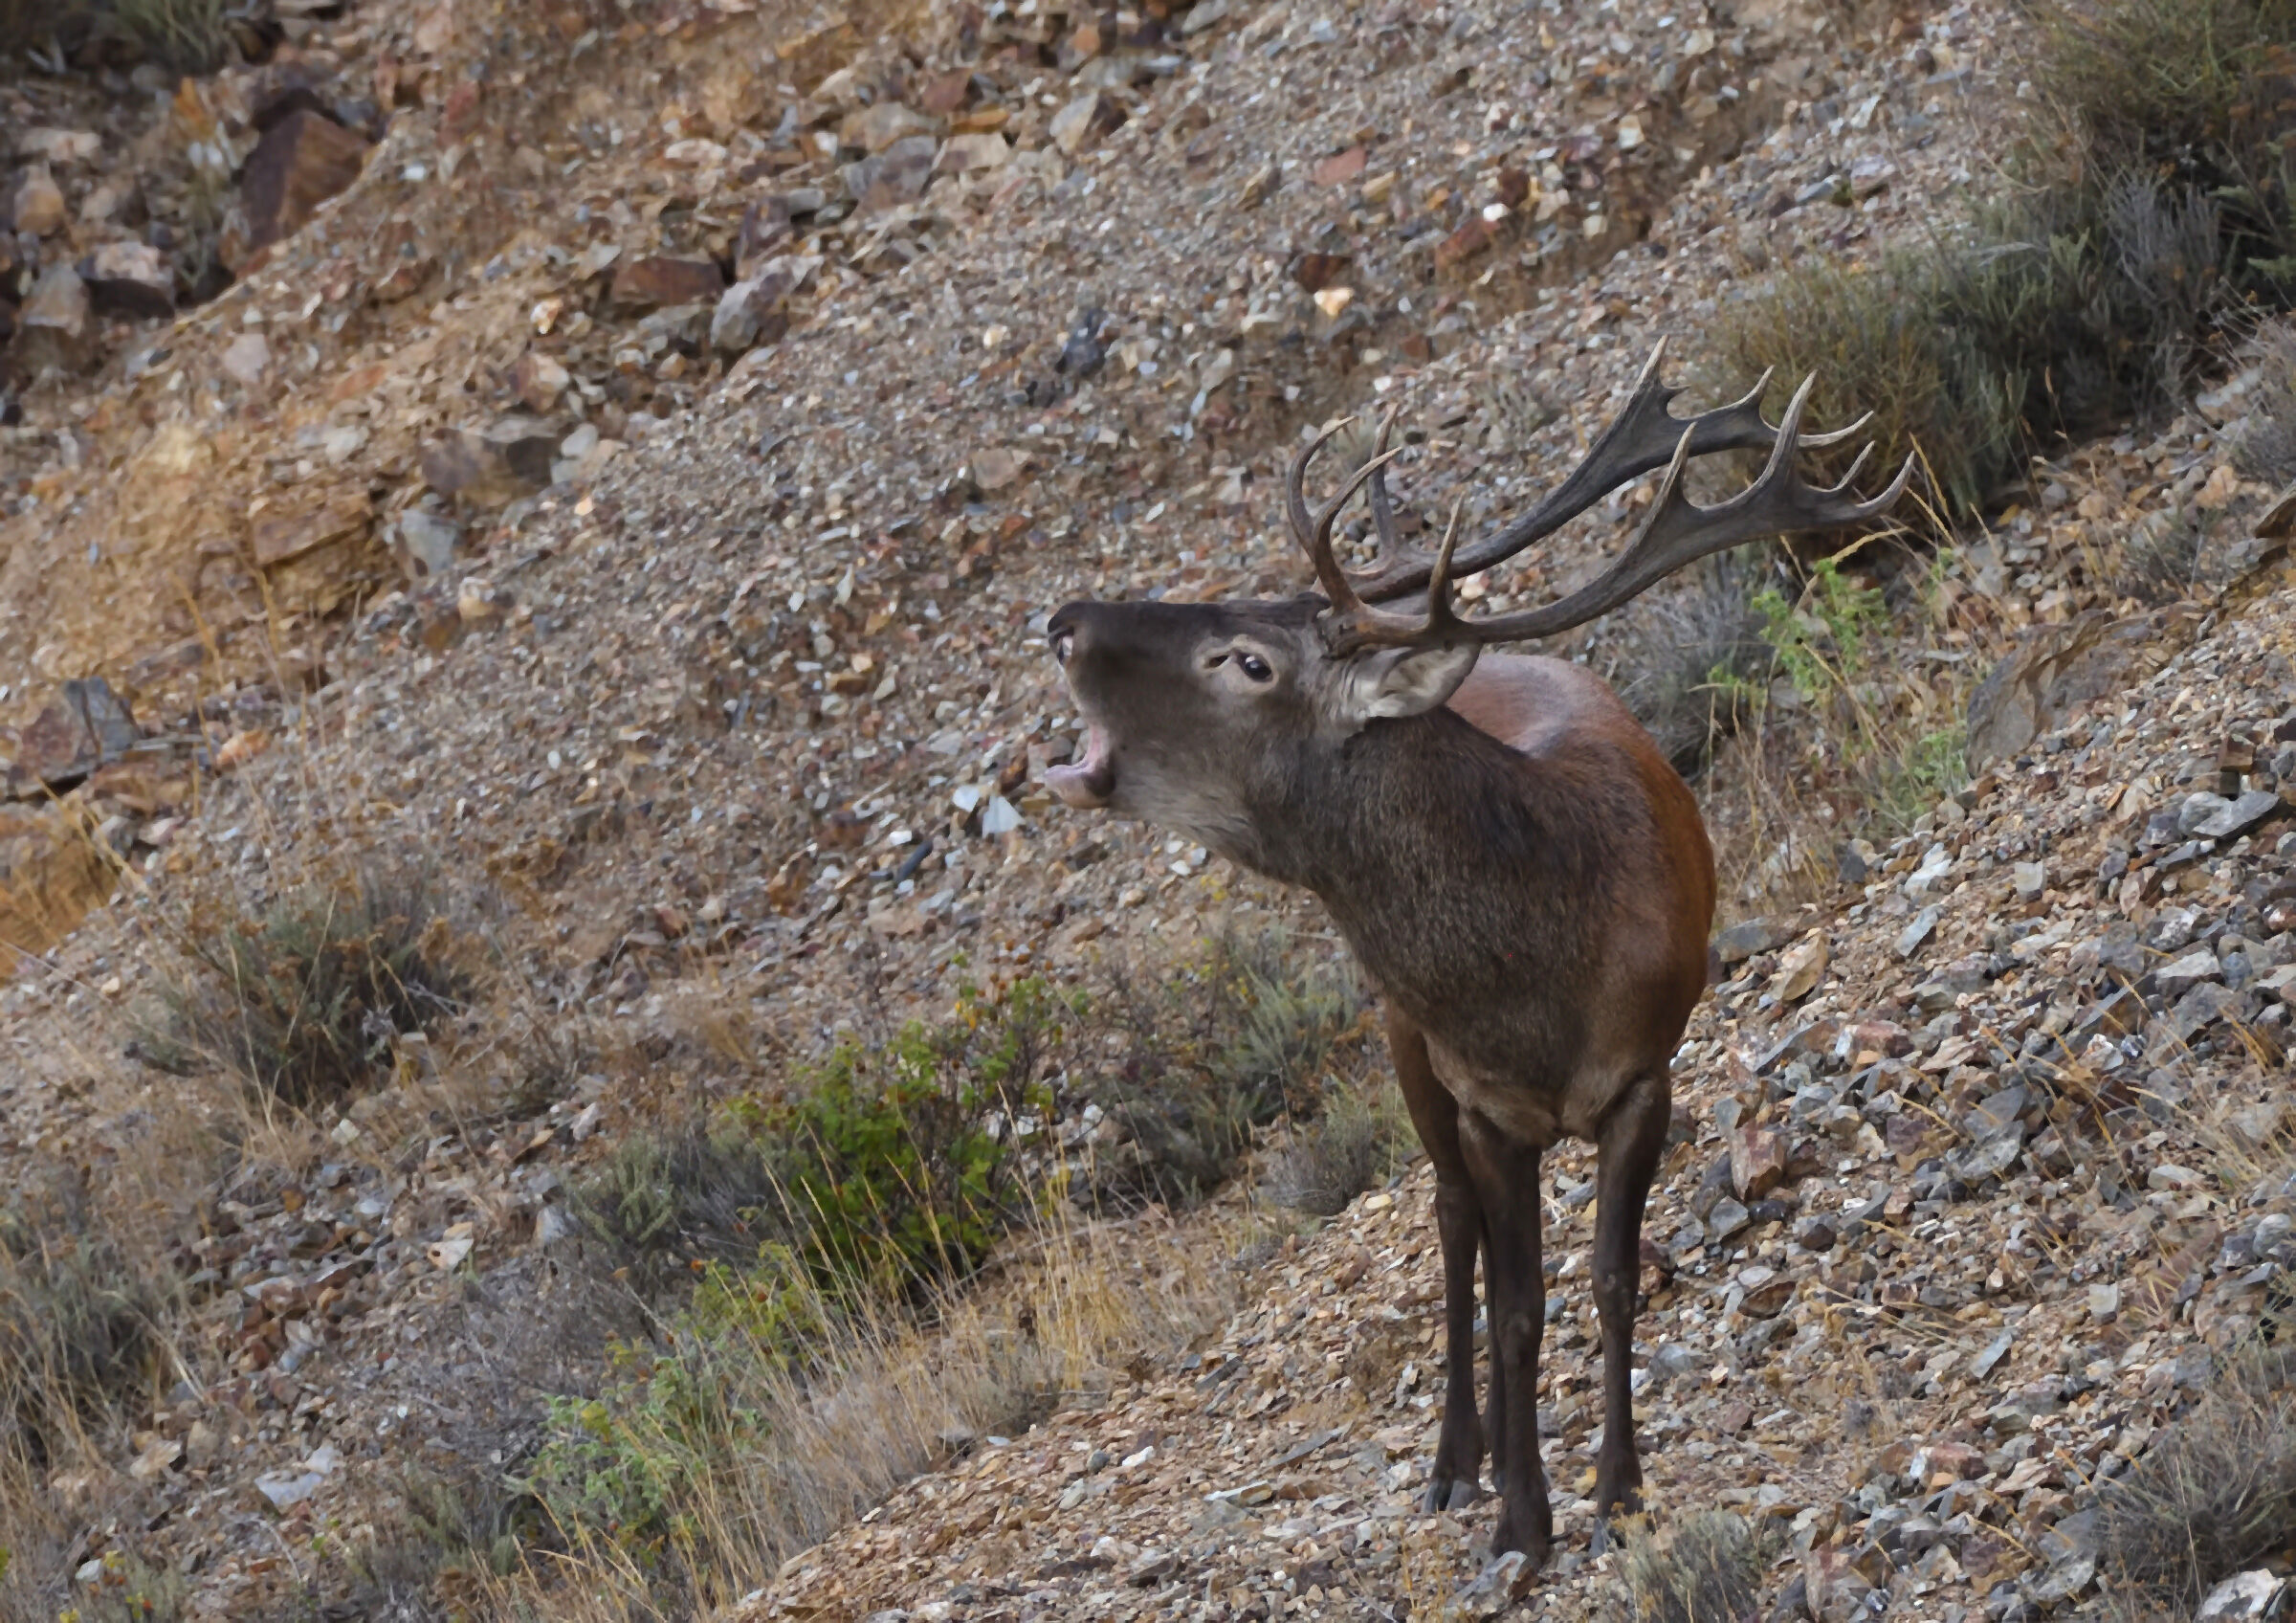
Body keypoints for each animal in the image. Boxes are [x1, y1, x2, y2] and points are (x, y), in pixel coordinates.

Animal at [1041, 341, 1909, 1565]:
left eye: (1247, 659)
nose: (1064, 621)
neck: (1538, 987)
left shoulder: (1646, 1074)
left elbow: (1607, 1279)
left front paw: (1618, 1489)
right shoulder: (1487, 1102)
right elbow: (1515, 1305)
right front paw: (1520, 1515)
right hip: (1404, 1040)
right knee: (1453, 1226)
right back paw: (1462, 1459)